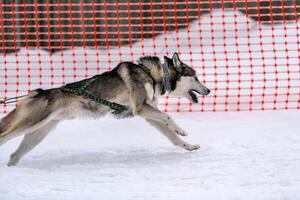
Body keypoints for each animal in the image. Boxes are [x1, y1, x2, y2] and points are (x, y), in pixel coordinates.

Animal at [0, 52, 210, 166]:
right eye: (196, 77)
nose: (208, 90)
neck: (153, 75)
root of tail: (37, 92)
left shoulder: (148, 114)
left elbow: (172, 137)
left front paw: (189, 145)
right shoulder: (141, 108)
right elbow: (167, 117)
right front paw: (181, 130)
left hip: (38, 133)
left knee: (14, 155)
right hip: (32, 123)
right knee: (4, 136)